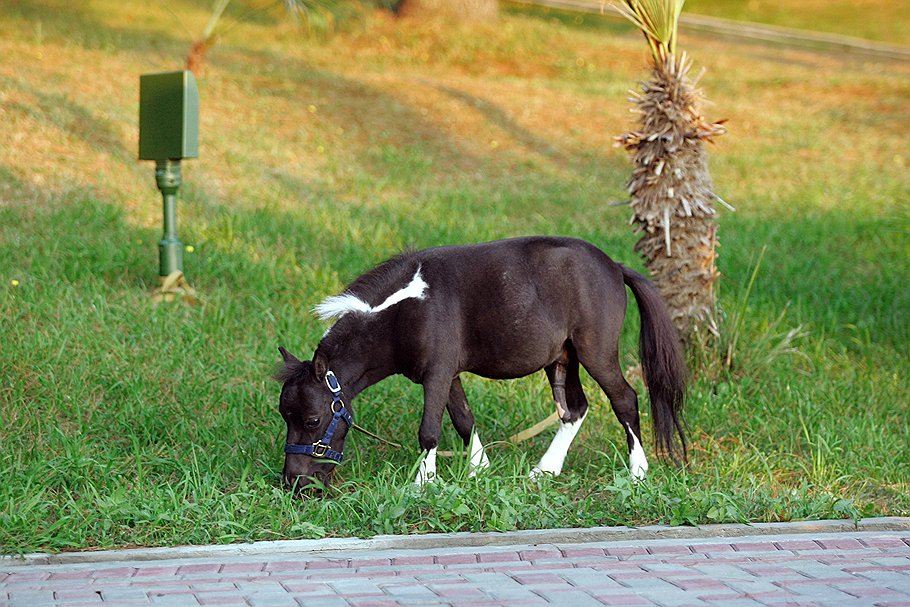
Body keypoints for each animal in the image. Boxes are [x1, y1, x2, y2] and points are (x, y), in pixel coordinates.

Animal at [274, 235, 688, 492]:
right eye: (285, 416)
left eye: (312, 420)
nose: (294, 482)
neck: (406, 308)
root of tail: (614, 266)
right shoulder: (449, 375)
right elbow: (463, 420)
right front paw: (478, 471)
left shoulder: (437, 375)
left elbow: (429, 431)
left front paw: (423, 485)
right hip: (561, 358)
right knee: (574, 409)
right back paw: (544, 471)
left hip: (596, 353)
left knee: (625, 400)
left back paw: (638, 473)